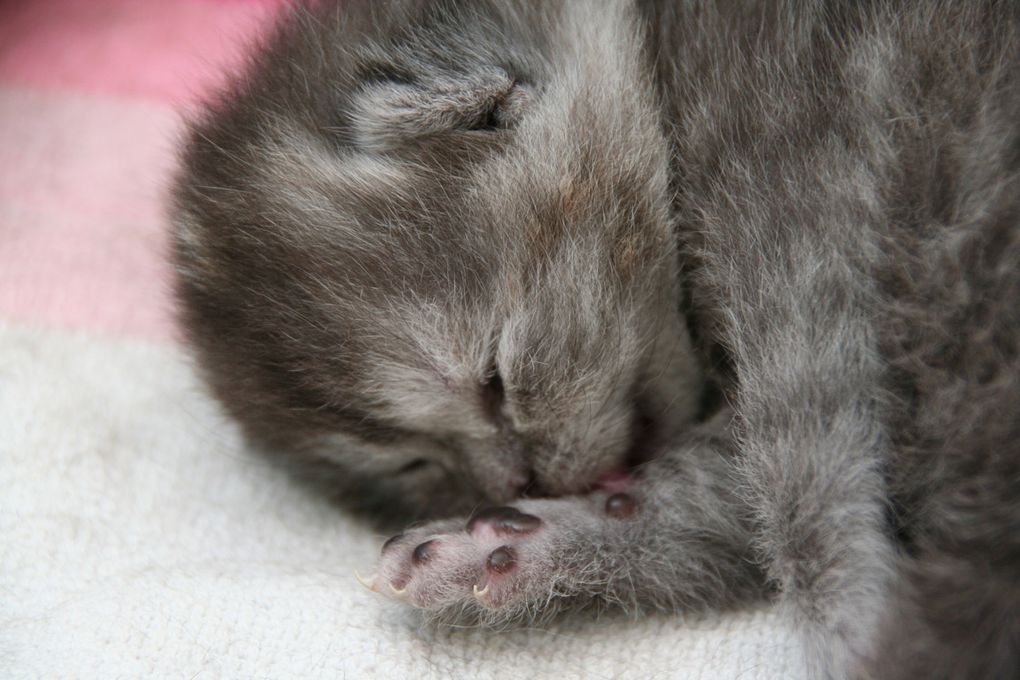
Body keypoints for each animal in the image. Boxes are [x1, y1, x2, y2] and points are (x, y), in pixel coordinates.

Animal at [169, 2, 1020, 676]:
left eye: (496, 378)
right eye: (417, 464)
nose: (523, 483)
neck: (655, 43)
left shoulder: (793, 200)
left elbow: (805, 463)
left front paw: (849, 624)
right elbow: (716, 504)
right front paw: (497, 548)